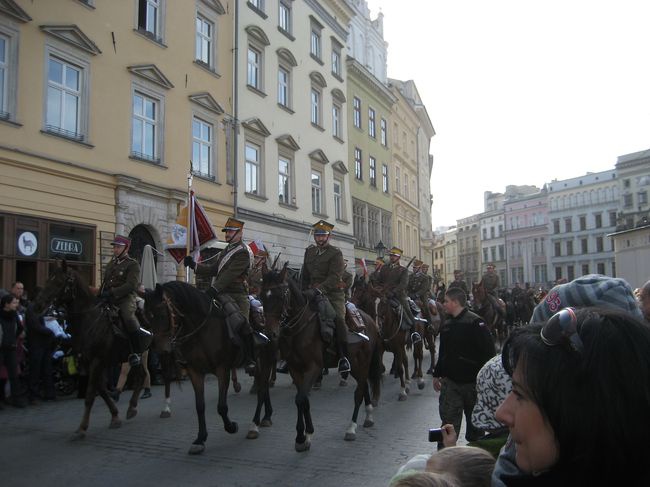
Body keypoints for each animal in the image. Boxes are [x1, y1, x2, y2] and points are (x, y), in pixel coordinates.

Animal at [35, 262, 148, 440]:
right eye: (48, 279)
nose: (37, 305)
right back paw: (131, 407)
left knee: (144, 375)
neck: (89, 320)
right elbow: (100, 389)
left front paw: (82, 428)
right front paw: (115, 417)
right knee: (141, 375)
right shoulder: (89, 362)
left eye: (59, 282)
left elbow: (89, 395)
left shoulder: (96, 361)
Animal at [143, 280, 242, 456]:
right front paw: (200, 439)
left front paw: (231, 427)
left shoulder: (222, 369)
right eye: (146, 316)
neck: (201, 331)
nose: (159, 348)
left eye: (161, 314)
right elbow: (199, 406)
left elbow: (221, 406)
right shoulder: (195, 372)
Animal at [258, 264, 380, 448]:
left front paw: (302, 436)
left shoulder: (314, 368)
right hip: (355, 365)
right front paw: (305, 435)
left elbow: (300, 399)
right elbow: (303, 400)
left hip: (363, 363)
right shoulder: (295, 369)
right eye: (262, 296)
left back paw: (351, 428)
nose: (270, 333)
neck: (300, 328)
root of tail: (369, 320)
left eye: (280, 296)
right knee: (364, 385)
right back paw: (369, 416)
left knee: (359, 392)